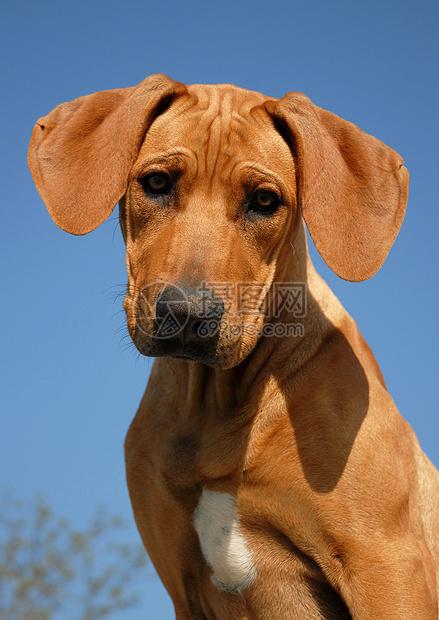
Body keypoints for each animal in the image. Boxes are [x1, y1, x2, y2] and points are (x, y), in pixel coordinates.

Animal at [29, 75, 438, 616]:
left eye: (264, 201)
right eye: (156, 183)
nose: (187, 315)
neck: (216, 406)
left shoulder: (386, 567)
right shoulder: (182, 587)